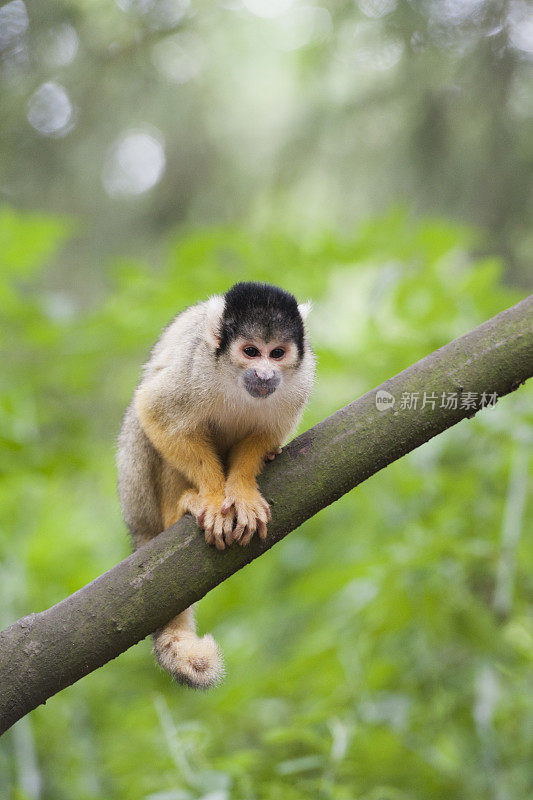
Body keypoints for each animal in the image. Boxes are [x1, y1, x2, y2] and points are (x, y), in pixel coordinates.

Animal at [118, 282, 314, 688]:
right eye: (251, 351)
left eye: (277, 353)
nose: (265, 374)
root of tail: (138, 530)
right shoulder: (195, 368)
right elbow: (154, 412)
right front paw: (211, 496)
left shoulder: (300, 382)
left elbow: (264, 434)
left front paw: (242, 491)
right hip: (137, 494)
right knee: (144, 424)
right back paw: (178, 511)